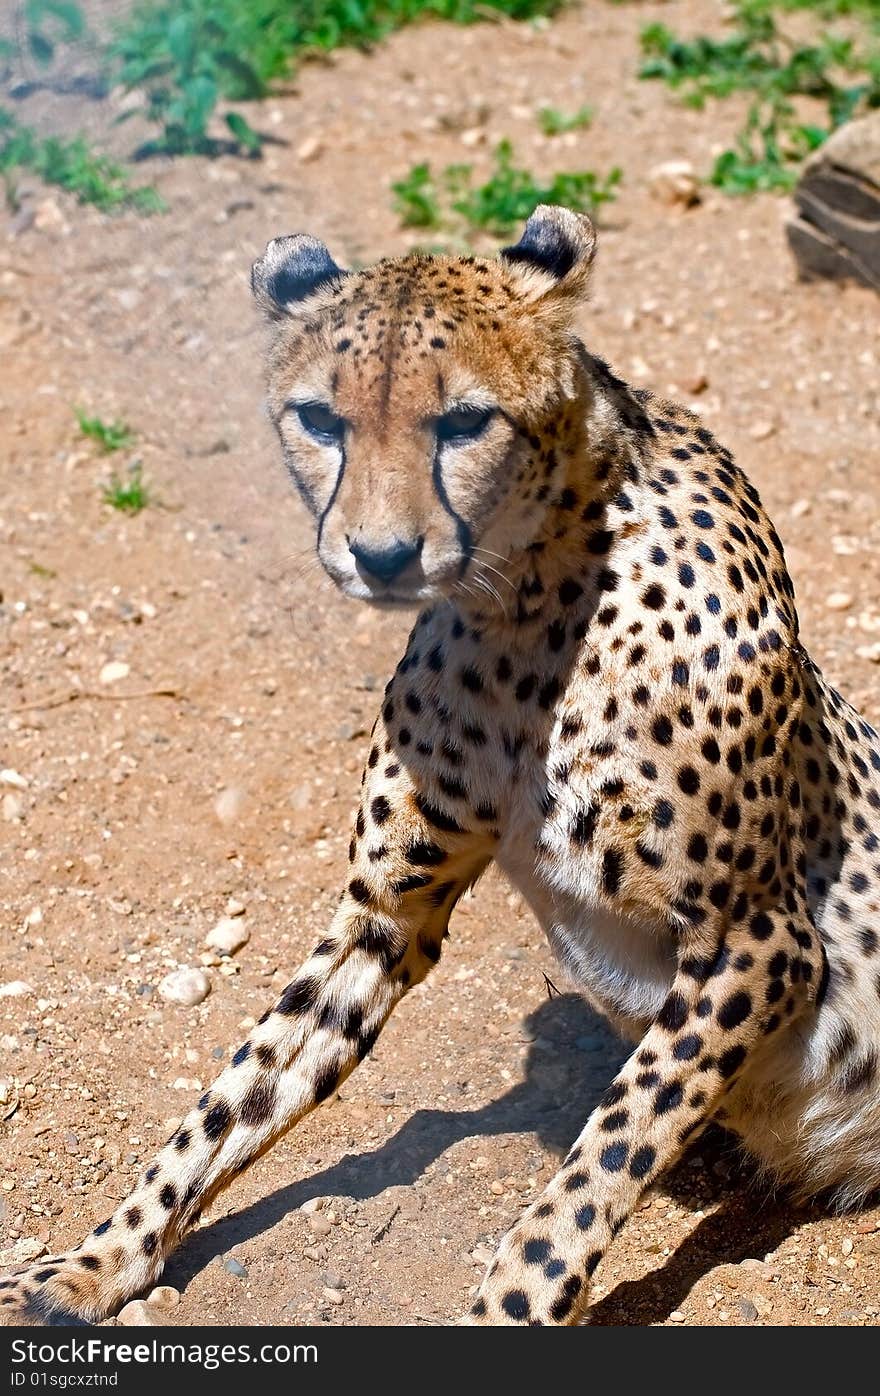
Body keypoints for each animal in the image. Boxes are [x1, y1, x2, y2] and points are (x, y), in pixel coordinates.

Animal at [1, 202, 880, 1323]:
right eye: (319, 419)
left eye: (464, 422)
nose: (380, 556)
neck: (524, 607)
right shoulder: (385, 915)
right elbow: (235, 1090)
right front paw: (98, 1259)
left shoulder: (756, 939)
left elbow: (599, 1160)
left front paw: (511, 1305)